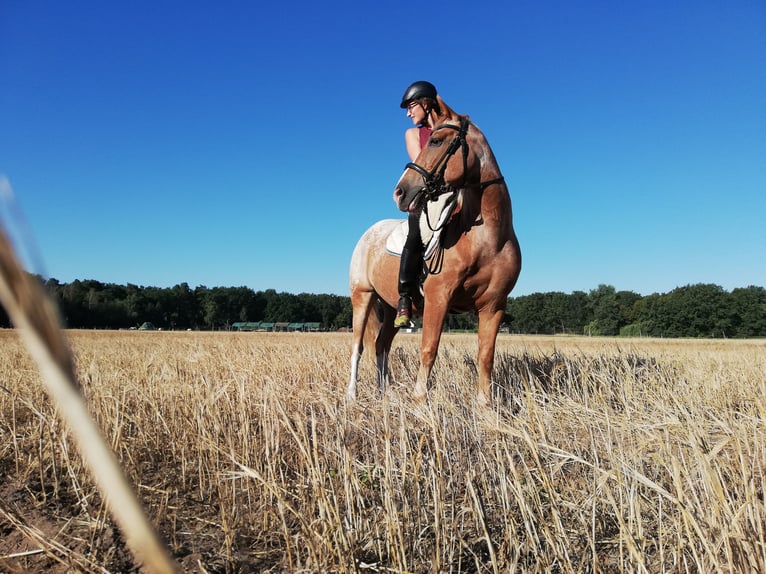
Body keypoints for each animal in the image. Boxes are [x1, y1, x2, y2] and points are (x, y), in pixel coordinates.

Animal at [346, 94, 520, 408]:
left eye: (437, 141)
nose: (400, 192)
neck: (488, 239)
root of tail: (369, 233)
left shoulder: (493, 305)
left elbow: (485, 356)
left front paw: (486, 408)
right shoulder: (439, 297)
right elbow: (429, 348)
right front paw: (419, 401)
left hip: (392, 306)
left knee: (381, 344)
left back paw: (384, 394)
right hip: (362, 296)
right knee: (357, 347)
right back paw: (351, 397)